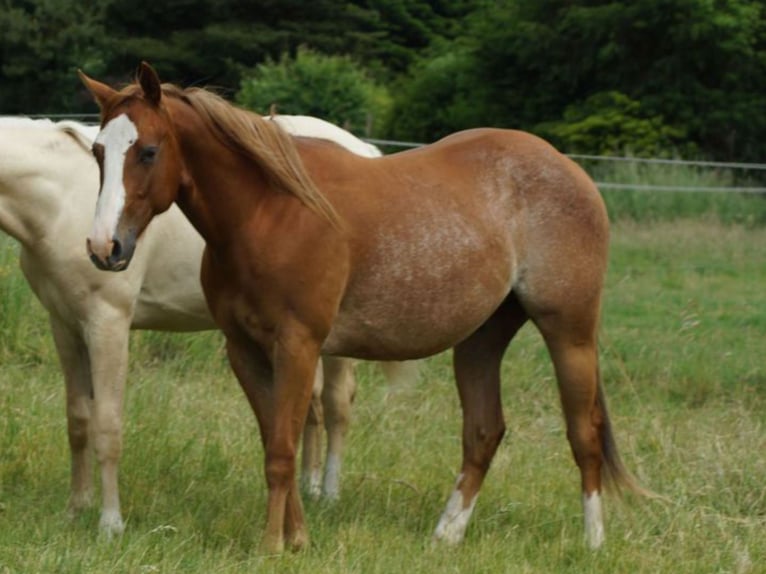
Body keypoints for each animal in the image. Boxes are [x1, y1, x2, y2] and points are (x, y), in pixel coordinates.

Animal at [0, 114, 415, 536]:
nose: (105, 249)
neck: (63, 198)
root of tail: (366, 152)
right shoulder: (65, 325)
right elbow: (79, 420)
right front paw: (76, 509)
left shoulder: (107, 323)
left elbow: (107, 424)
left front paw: (111, 524)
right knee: (311, 404)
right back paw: (309, 488)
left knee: (336, 403)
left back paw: (328, 494)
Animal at [79, 62, 648, 553]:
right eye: (98, 152)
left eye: (148, 151)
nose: (105, 247)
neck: (269, 211)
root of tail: (570, 170)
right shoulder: (244, 351)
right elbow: (275, 441)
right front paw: (297, 538)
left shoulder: (299, 345)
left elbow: (283, 451)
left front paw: (271, 546)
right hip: (482, 339)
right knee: (484, 432)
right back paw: (446, 536)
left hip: (569, 332)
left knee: (584, 432)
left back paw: (592, 541)